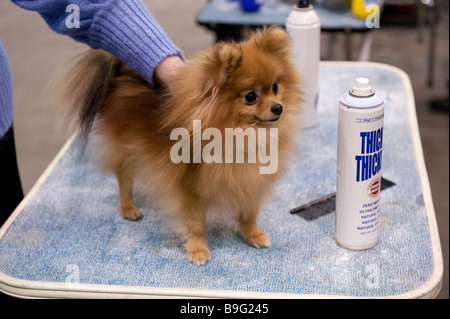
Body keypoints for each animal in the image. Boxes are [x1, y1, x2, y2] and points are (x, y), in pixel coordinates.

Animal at [60, 25, 302, 266]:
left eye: (275, 87)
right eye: (251, 96)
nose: (278, 107)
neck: (242, 133)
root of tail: (121, 73)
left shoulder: (251, 180)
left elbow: (249, 213)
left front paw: (253, 234)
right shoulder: (191, 187)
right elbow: (196, 223)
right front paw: (198, 249)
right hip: (127, 151)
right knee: (124, 179)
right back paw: (129, 208)